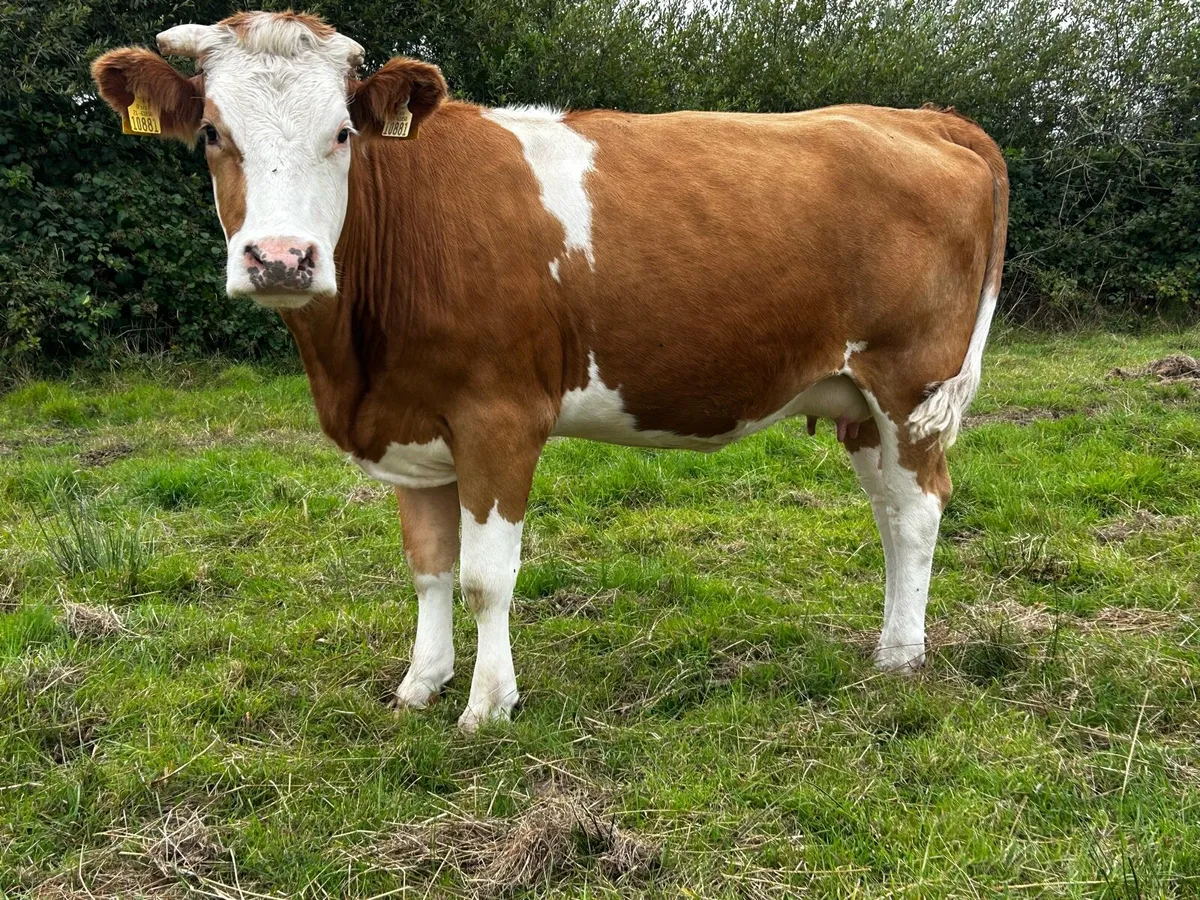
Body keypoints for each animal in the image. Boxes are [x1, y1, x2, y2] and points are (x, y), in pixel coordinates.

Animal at [92, 11, 1008, 732]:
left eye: (342, 134)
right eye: (214, 134)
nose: (281, 259)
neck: (354, 368)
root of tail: (922, 117)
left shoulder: (499, 417)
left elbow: (485, 577)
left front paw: (487, 706)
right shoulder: (411, 426)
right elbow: (428, 566)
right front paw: (421, 684)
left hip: (909, 383)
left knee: (919, 510)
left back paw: (901, 656)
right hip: (856, 397)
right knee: (890, 511)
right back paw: (889, 638)